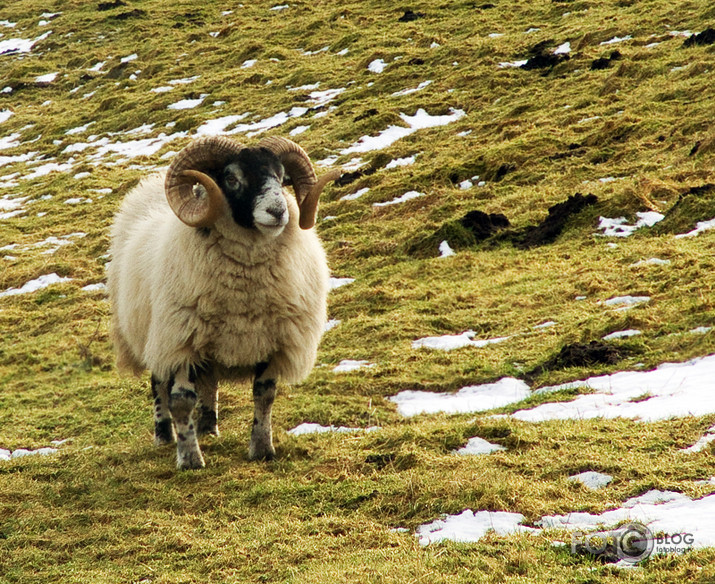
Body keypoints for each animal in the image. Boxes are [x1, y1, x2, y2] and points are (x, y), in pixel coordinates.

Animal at [107, 137, 342, 470]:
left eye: (282, 177)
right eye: (231, 178)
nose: (278, 211)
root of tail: (148, 185)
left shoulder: (272, 340)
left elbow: (264, 395)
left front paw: (262, 449)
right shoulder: (180, 341)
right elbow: (181, 401)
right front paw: (189, 458)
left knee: (209, 382)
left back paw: (208, 426)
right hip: (153, 333)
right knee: (158, 385)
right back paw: (164, 434)